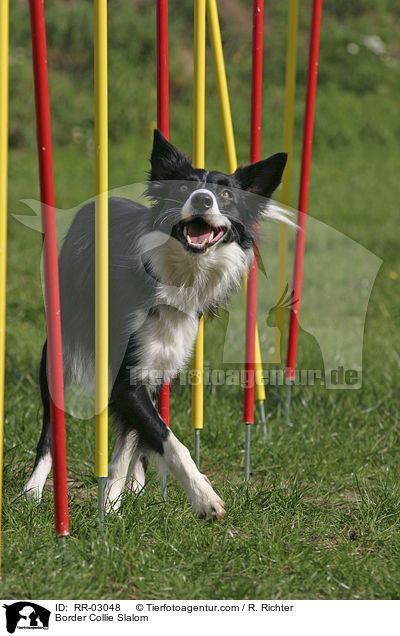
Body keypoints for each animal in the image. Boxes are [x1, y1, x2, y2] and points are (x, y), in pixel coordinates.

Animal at [24, 130, 288, 520]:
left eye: (226, 195)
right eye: (183, 188)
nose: (203, 199)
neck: (179, 275)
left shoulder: (156, 368)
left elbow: (132, 443)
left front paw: (112, 505)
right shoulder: (126, 378)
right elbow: (170, 440)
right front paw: (205, 498)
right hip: (60, 347)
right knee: (49, 425)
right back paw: (33, 490)